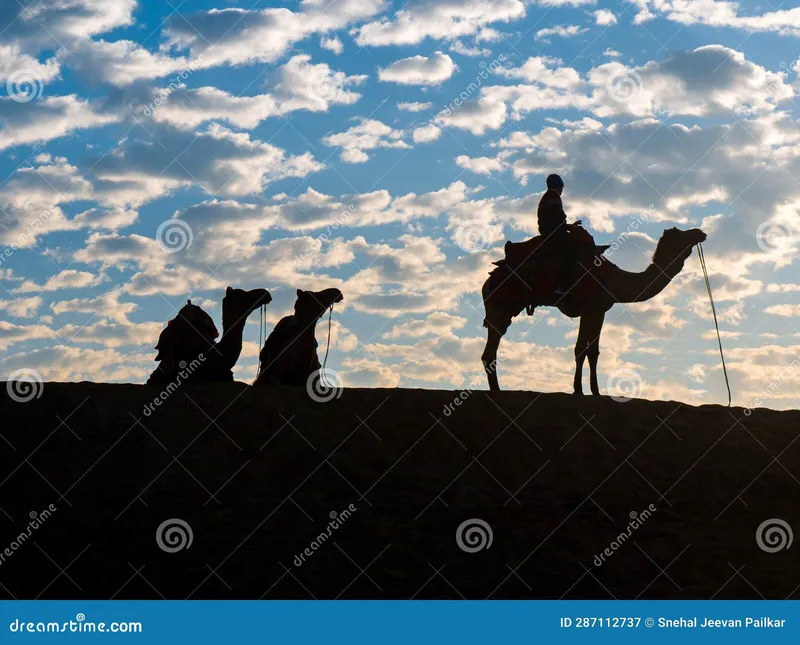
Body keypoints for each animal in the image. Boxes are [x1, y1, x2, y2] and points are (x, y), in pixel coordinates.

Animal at [482, 229, 708, 394]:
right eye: (682, 235)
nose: (700, 233)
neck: (615, 280)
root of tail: (488, 280)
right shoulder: (593, 309)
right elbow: (582, 349)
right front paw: (581, 390)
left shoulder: (597, 311)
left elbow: (592, 351)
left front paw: (593, 391)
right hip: (501, 304)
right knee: (491, 348)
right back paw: (497, 390)